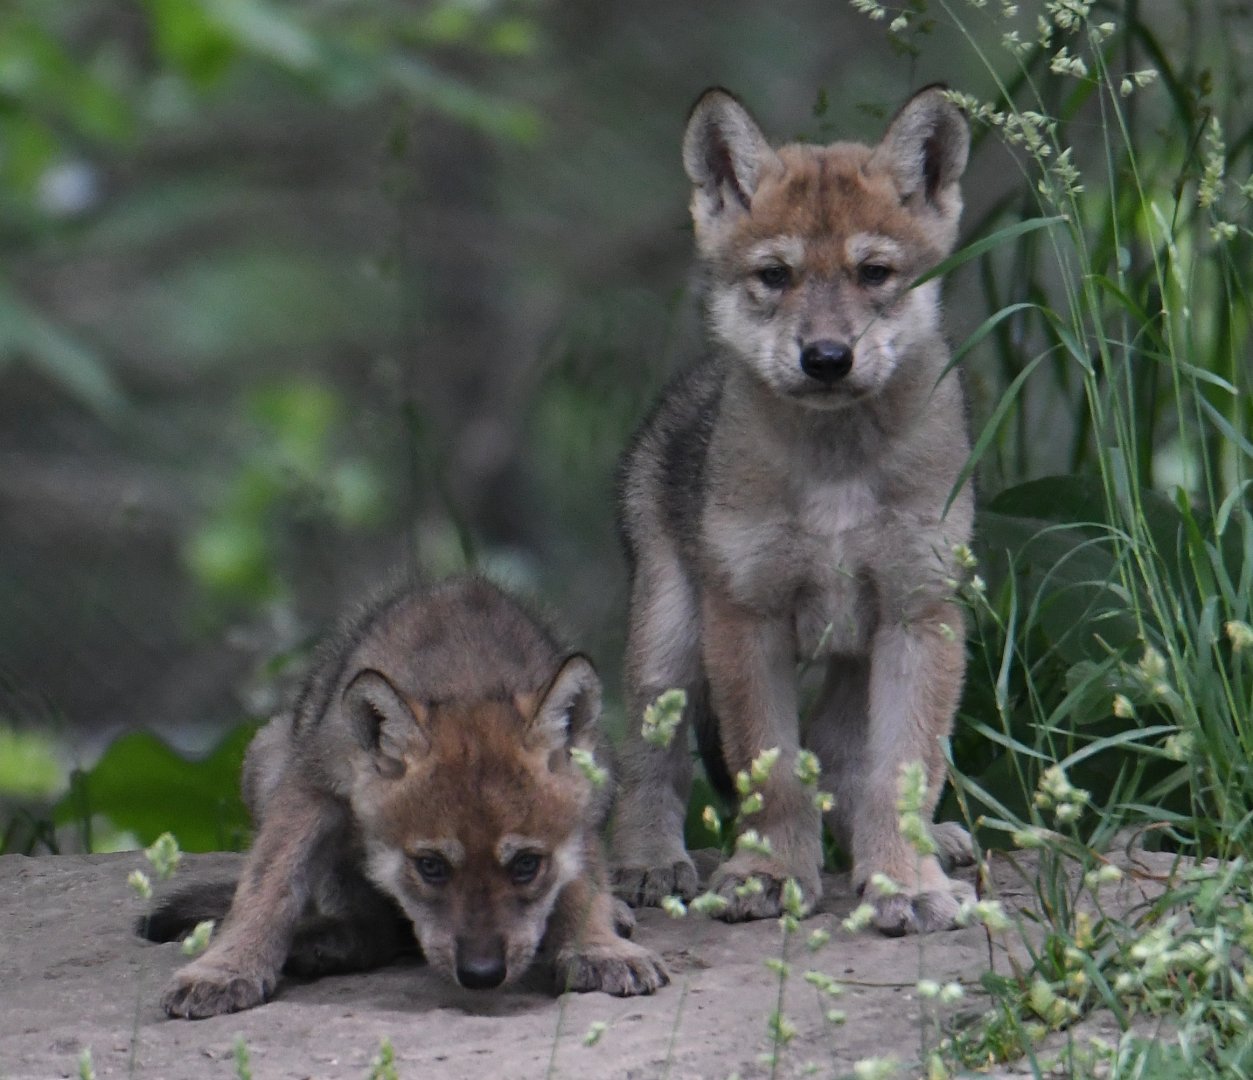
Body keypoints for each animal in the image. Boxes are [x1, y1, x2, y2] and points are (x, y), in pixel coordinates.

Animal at [144, 577, 668, 1017]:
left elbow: (583, 882)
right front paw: (225, 968)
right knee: (367, 926)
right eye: (430, 866)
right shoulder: (312, 788)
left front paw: (597, 947)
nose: (482, 975)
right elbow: (267, 883)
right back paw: (324, 942)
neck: (466, 680)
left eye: (527, 865)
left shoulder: (581, 806)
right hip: (267, 754)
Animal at [609, 86, 976, 934]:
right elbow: (769, 773)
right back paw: (649, 864)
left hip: (850, 655)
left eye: (874, 273)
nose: (827, 359)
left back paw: (925, 846)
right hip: (668, 643)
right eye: (774, 275)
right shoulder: (747, 617)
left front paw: (905, 882)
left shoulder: (918, 613)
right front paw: (771, 875)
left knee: (843, 758)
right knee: (646, 763)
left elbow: (900, 768)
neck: (835, 467)